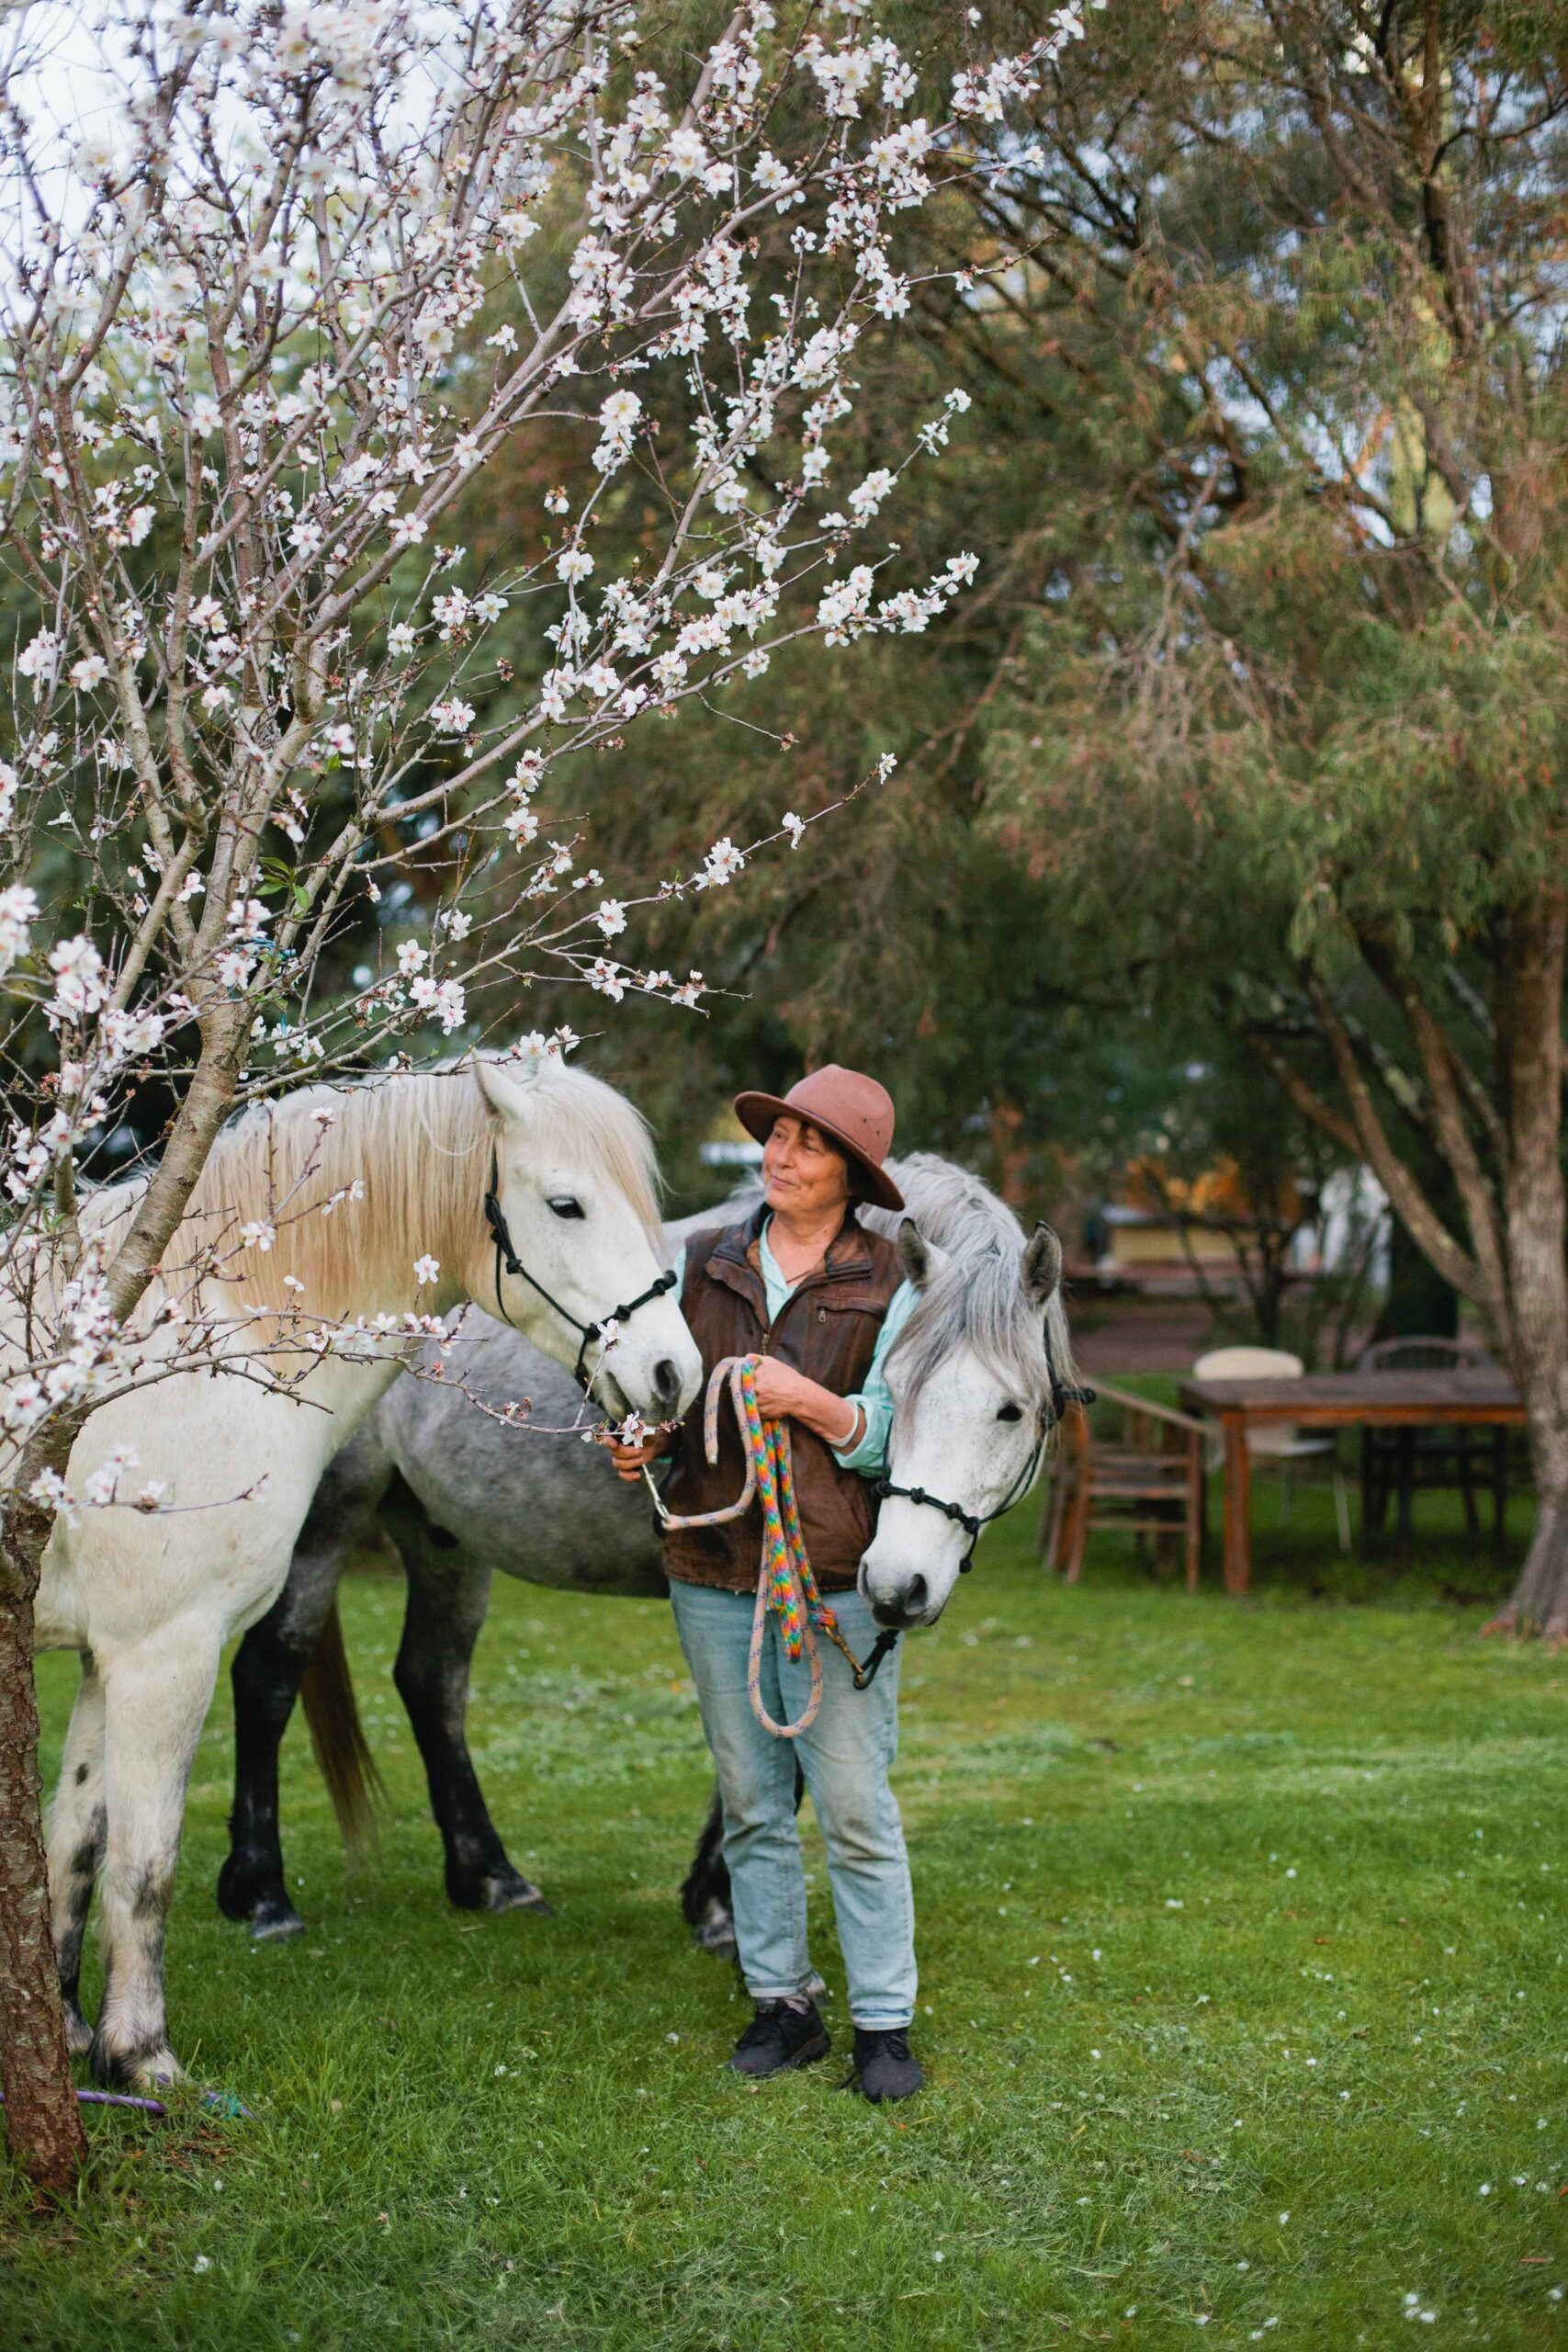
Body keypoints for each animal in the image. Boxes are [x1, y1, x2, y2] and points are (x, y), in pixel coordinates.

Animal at [21, 1050, 701, 2087]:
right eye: (567, 1204)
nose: (675, 1374)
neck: (204, 1340)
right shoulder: (161, 1656)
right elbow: (145, 1861)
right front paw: (142, 2059)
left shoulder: (108, 1659)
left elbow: (77, 1844)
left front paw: (69, 2041)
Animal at [217, 1152, 1076, 1950]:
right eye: (893, 1383)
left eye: (1011, 1409)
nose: (899, 1586)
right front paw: (721, 1905)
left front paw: (711, 1893)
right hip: (322, 1528)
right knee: (267, 1676)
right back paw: (262, 1896)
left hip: (442, 1541)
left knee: (431, 1684)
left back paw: (491, 1878)